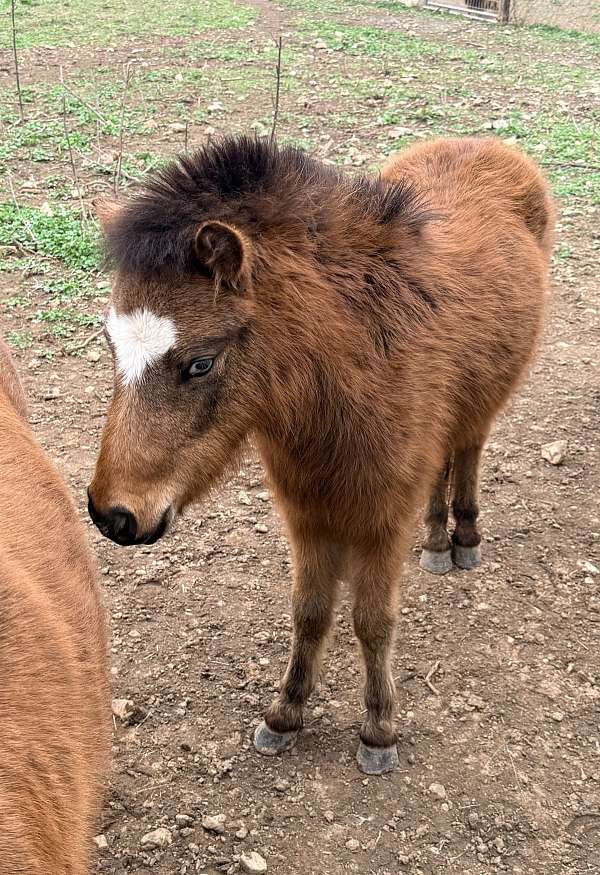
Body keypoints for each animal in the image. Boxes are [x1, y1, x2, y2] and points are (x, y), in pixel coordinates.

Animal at [88, 135, 554, 774]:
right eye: (112, 346)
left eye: (201, 363)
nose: (112, 515)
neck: (353, 370)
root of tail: (486, 146)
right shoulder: (307, 515)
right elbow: (309, 613)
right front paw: (285, 714)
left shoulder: (382, 520)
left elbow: (372, 621)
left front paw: (378, 731)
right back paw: (435, 541)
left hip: (483, 406)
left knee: (467, 452)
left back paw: (462, 538)